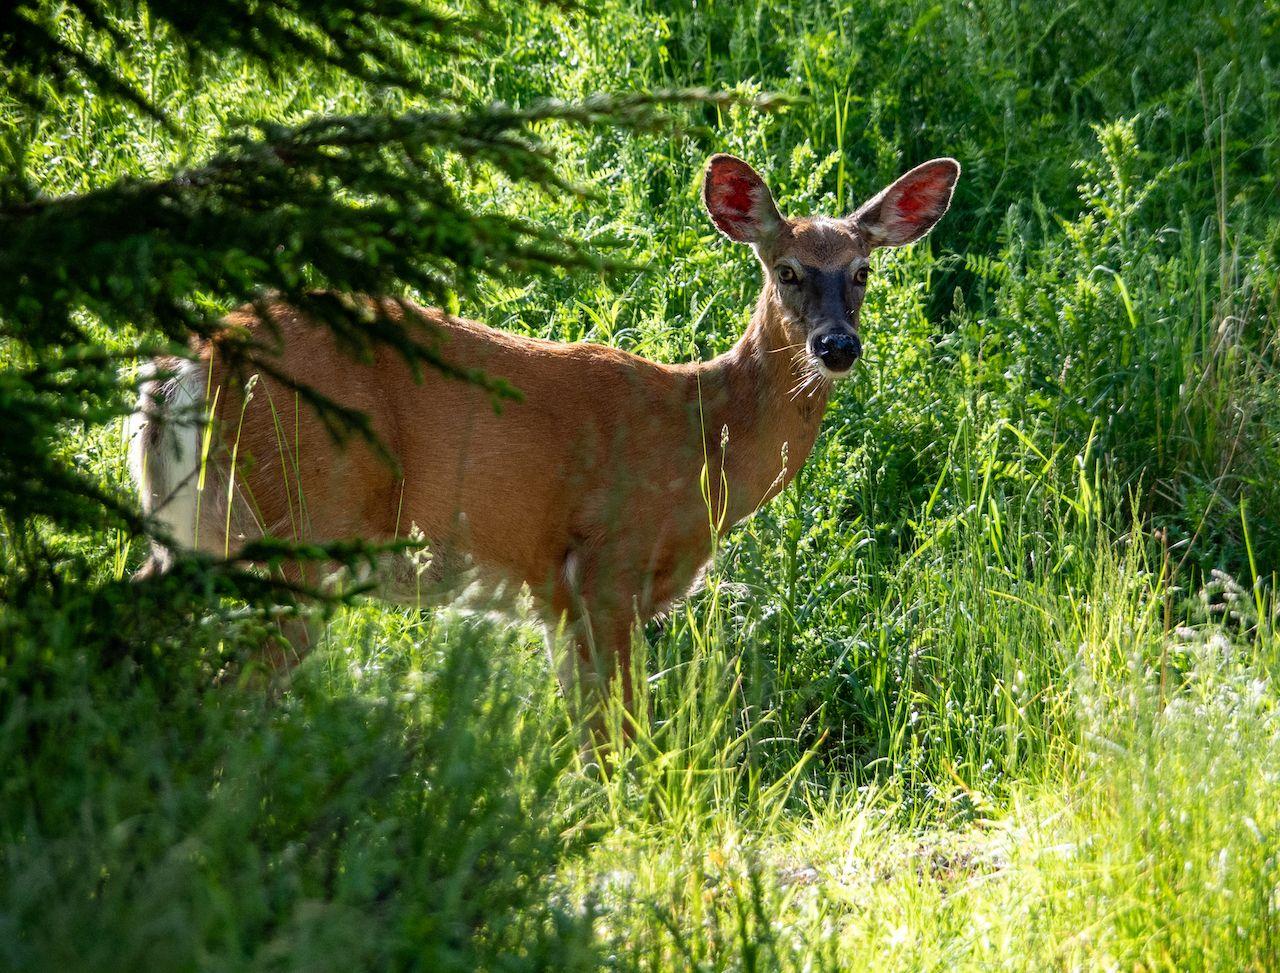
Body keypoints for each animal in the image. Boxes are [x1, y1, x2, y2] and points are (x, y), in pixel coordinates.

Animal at [128, 152, 959, 734]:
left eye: (862, 271)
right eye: (786, 270)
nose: (837, 345)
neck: (705, 442)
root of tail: (199, 357)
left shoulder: (557, 598)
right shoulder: (608, 564)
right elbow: (618, 735)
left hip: (195, 527)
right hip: (302, 524)